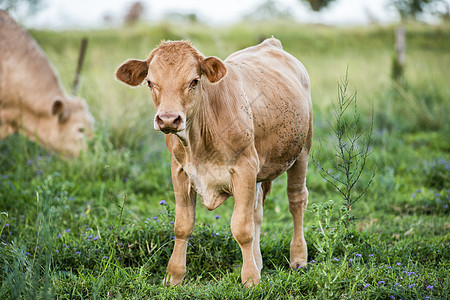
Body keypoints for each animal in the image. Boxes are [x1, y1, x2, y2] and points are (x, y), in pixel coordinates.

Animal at [117, 37, 312, 286]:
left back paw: (298, 259)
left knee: (296, 201)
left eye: (194, 81)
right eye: (150, 82)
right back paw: (258, 262)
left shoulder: (244, 169)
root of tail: (271, 43)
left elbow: (242, 228)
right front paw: (174, 276)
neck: (199, 142)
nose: (168, 119)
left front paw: (250, 280)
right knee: (257, 212)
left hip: (302, 150)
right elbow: (182, 225)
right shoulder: (180, 171)